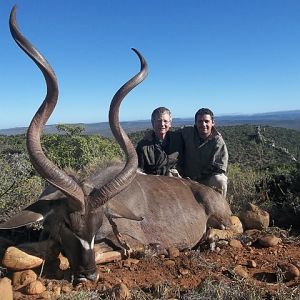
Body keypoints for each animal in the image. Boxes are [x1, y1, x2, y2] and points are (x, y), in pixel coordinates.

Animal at [0, 7, 232, 284]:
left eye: (98, 223)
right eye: (67, 223)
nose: (88, 275)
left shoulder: (132, 242)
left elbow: (115, 250)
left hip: (223, 218)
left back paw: (211, 238)